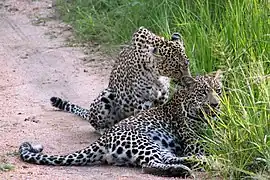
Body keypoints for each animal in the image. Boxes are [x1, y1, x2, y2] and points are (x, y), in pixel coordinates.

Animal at [18, 70, 221, 177]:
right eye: (203, 93)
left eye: (218, 90)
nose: (215, 104)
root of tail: (104, 138)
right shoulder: (194, 142)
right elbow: (205, 144)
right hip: (143, 141)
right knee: (150, 164)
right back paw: (187, 168)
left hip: (157, 146)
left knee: (166, 158)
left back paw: (202, 162)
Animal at [49, 26, 191, 134]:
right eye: (176, 69)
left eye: (187, 64)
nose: (188, 80)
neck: (157, 75)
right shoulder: (142, 101)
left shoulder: (162, 98)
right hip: (106, 95)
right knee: (95, 125)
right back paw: (106, 129)